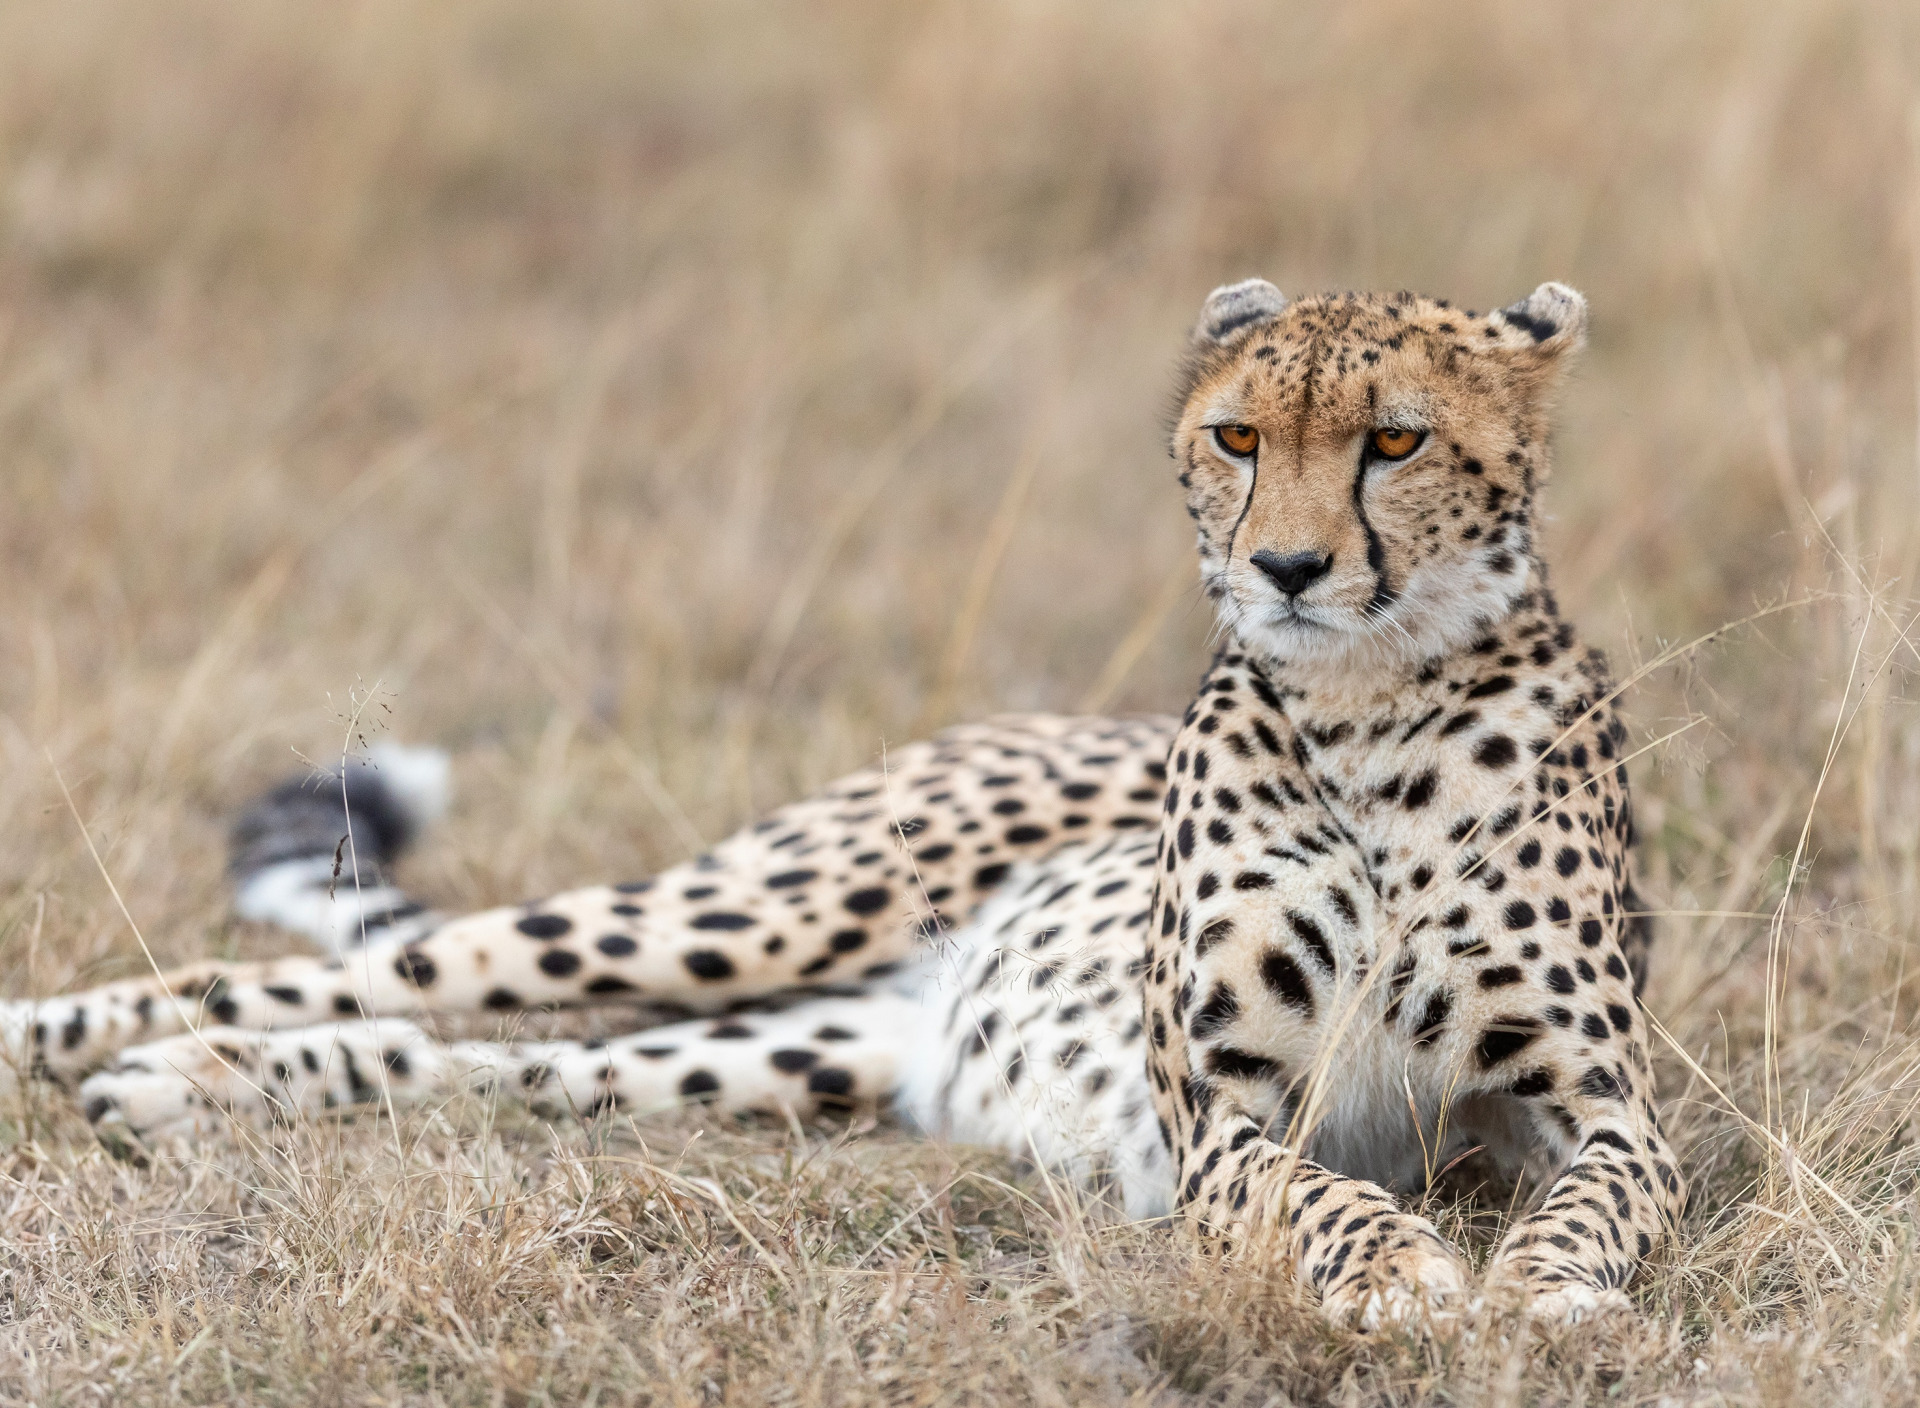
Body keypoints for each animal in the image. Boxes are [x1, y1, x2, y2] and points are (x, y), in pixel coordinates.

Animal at [0, 276, 1681, 1329]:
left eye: (1395, 439)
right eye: (1238, 437)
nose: (1286, 568)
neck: (1371, 709)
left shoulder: (1604, 1105)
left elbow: (1597, 1201)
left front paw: (1545, 1292)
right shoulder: (1220, 1109)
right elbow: (1315, 1196)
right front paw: (1401, 1275)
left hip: (800, 1051)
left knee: (479, 1057)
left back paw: (182, 1087)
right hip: (759, 910)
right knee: (371, 968)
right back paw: (73, 1041)